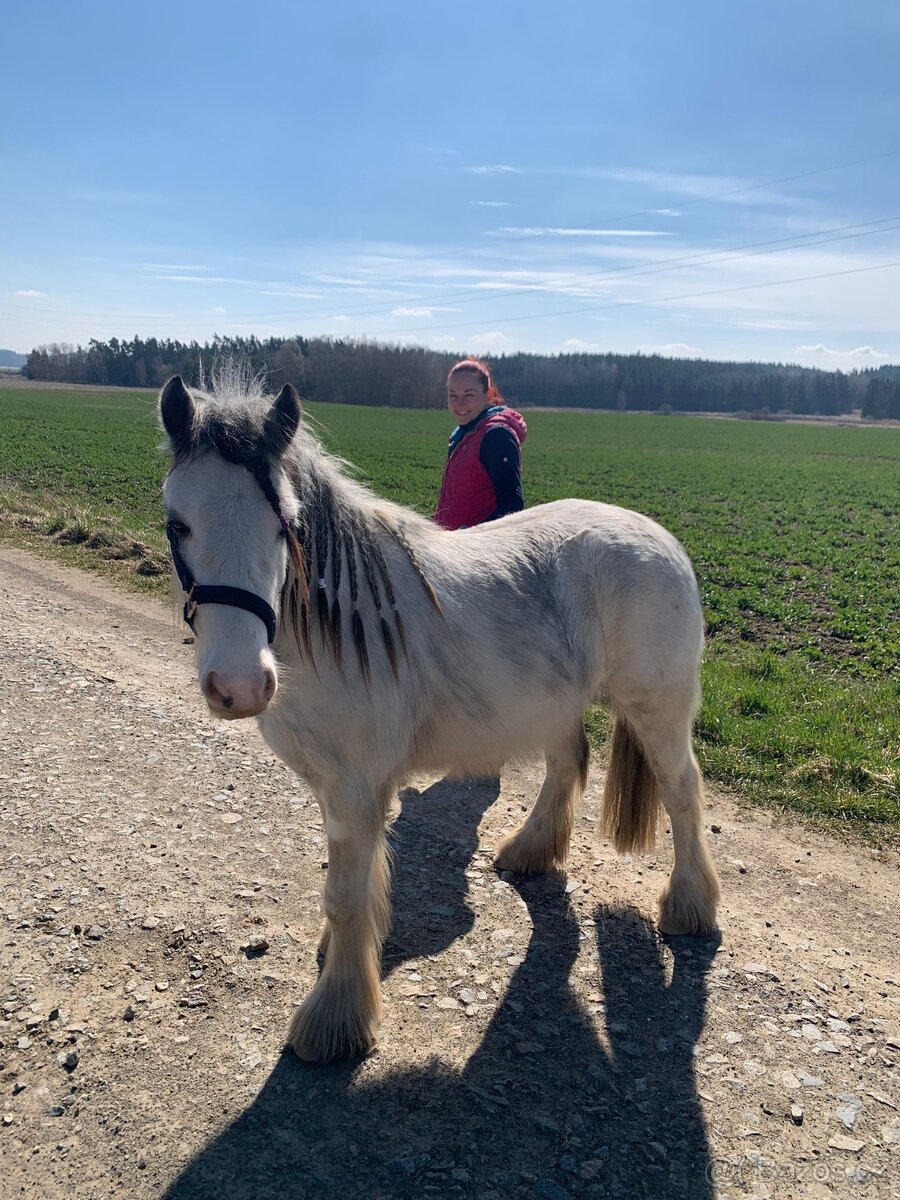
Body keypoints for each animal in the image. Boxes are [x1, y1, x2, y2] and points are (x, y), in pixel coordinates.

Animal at [158, 371, 720, 1063]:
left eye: (284, 524)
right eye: (178, 524)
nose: (239, 686)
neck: (335, 630)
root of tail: (657, 535)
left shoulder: (355, 787)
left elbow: (345, 895)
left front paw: (334, 1019)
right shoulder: (337, 788)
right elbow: (352, 883)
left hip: (656, 709)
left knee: (682, 791)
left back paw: (690, 906)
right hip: (556, 703)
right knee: (567, 766)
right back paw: (530, 851)